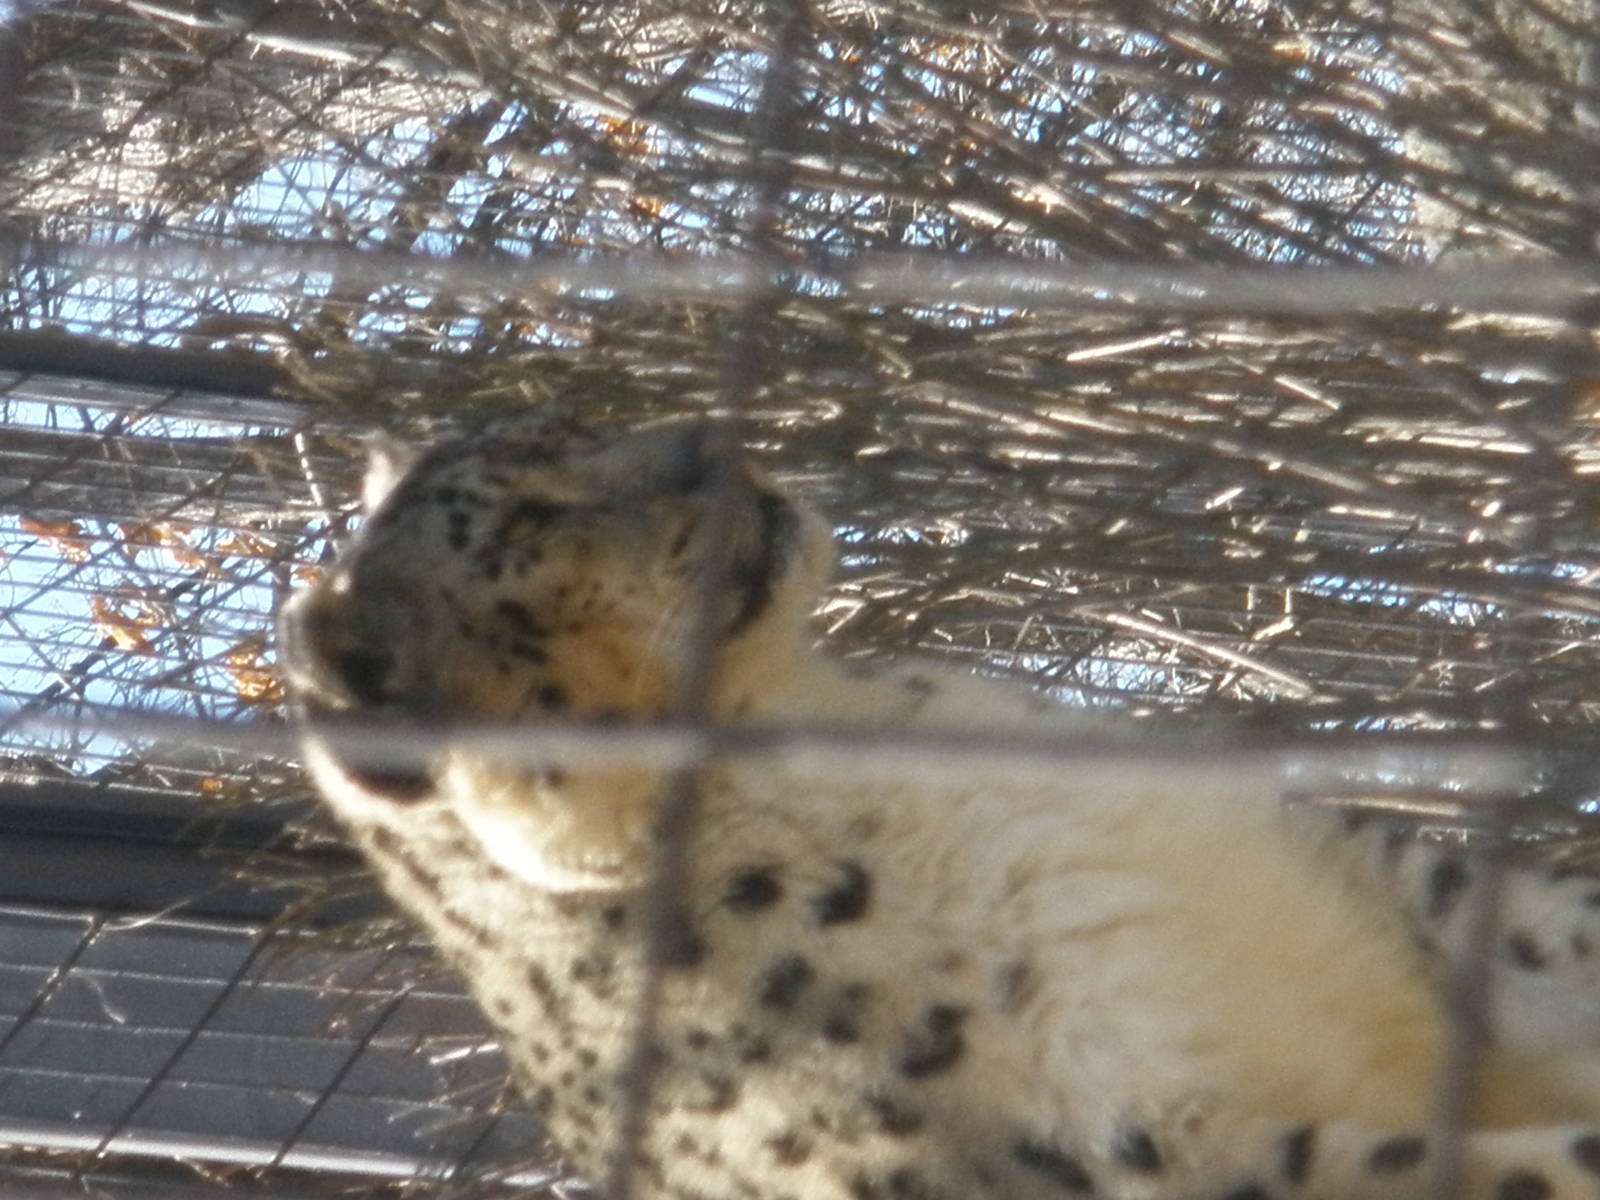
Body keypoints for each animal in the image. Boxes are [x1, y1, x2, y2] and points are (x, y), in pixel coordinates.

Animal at [277, 412, 1600, 1200]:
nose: (708, 437)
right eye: (524, 516)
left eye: (560, 434)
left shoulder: (1371, 878)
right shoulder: (1141, 1149)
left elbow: (1548, 928)